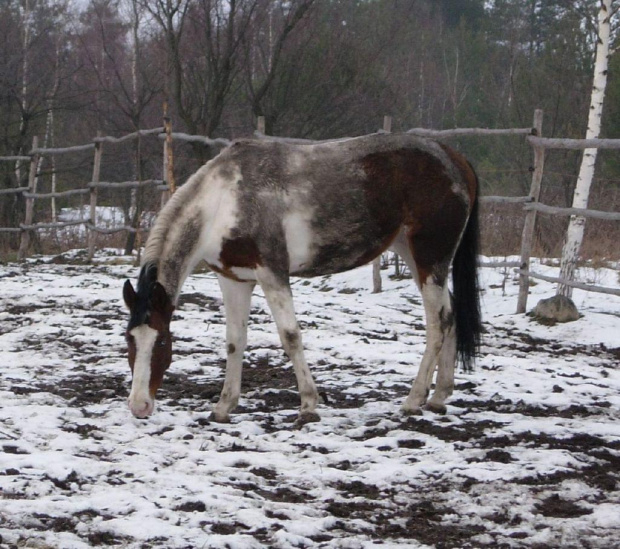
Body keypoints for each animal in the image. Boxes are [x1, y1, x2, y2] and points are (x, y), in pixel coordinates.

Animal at [121, 132, 480, 424]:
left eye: (162, 341)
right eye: (129, 339)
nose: (139, 406)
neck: (224, 200)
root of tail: (454, 157)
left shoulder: (272, 274)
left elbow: (290, 336)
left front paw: (308, 405)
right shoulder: (234, 279)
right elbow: (235, 341)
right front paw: (223, 407)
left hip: (430, 256)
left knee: (438, 322)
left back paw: (413, 400)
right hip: (414, 254)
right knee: (451, 314)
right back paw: (439, 398)